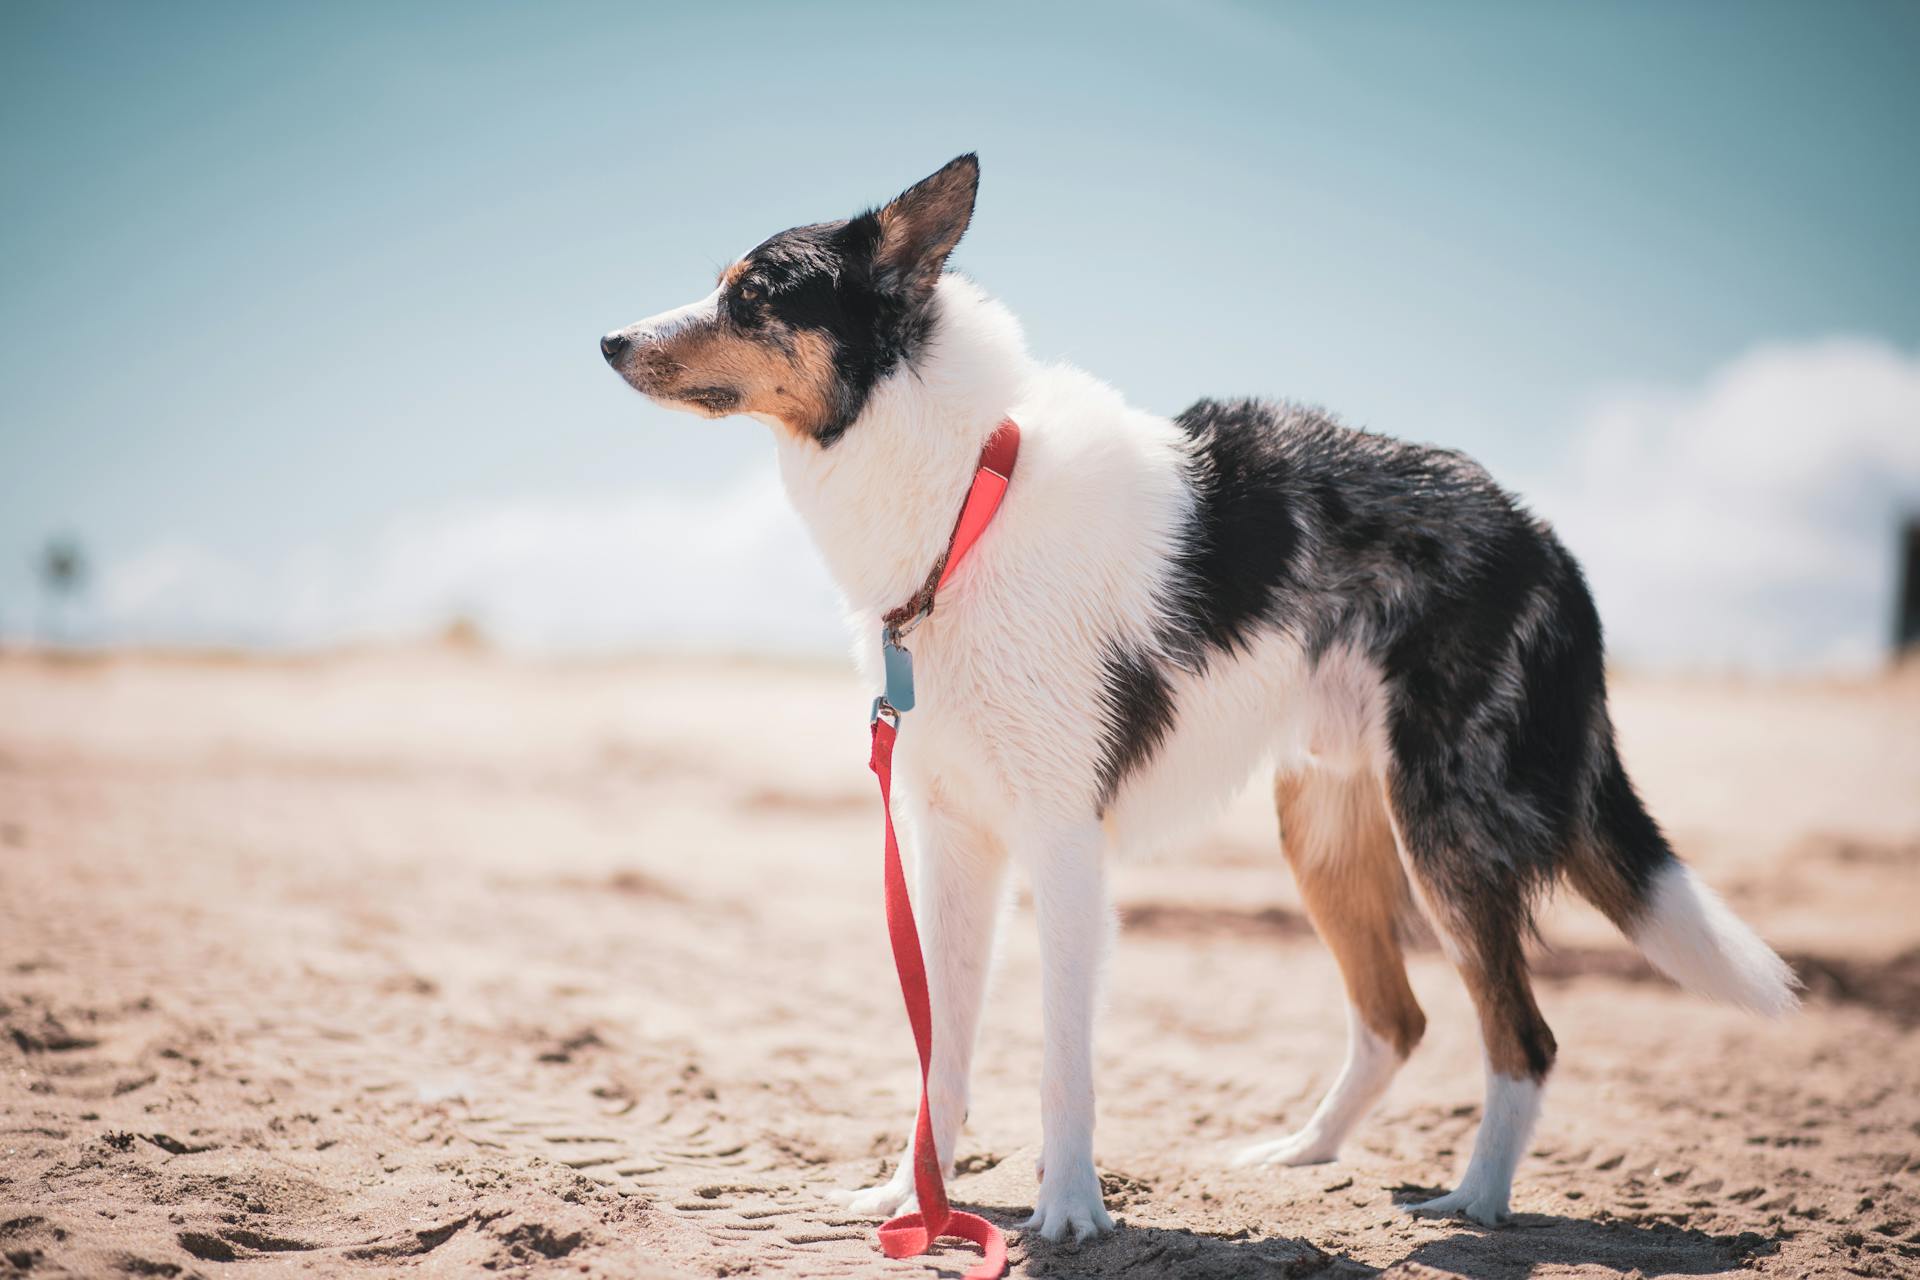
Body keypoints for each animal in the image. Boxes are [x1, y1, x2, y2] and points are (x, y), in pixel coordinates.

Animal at [599, 152, 1797, 1243]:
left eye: (753, 294)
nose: (607, 341)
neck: (966, 500)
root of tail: (1543, 537)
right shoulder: (950, 840)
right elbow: (939, 1048)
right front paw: (912, 1200)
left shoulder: (1063, 841)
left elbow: (1062, 1056)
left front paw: (1070, 1211)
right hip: (1322, 825)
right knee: (1396, 1019)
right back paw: (1303, 1152)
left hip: (1448, 826)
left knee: (1522, 1038)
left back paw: (1477, 1202)